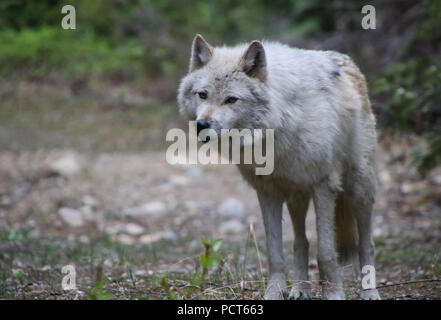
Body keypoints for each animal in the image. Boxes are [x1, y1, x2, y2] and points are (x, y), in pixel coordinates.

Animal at [177, 35, 380, 300]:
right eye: (202, 95)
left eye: (231, 99)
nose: (202, 124)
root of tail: (348, 61)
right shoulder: (267, 192)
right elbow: (275, 252)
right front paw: (274, 292)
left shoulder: (324, 186)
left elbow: (326, 253)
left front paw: (334, 294)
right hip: (297, 196)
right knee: (301, 242)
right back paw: (300, 289)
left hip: (359, 187)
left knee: (366, 244)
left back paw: (369, 292)